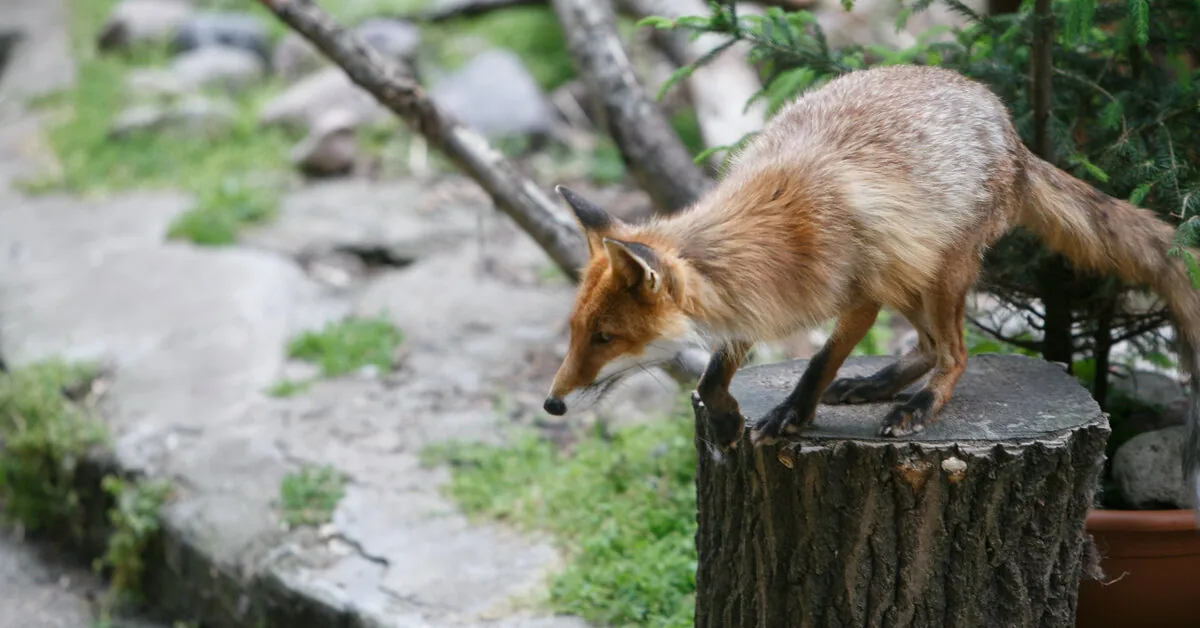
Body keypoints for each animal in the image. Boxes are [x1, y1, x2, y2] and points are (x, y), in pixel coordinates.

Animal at [542, 64, 1200, 512]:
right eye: (575, 332)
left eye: (605, 338)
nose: (551, 404)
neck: (766, 233)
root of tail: (1010, 130)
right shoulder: (756, 302)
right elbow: (714, 372)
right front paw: (726, 418)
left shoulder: (860, 291)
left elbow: (821, 359)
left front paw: (792, 413)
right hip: (913, 271)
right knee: (931, 347)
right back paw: (875, 384)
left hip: (937, 268)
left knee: (956, 353)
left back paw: (918, 405)